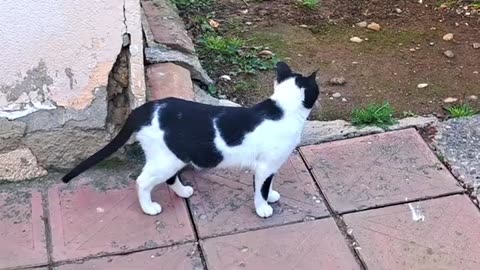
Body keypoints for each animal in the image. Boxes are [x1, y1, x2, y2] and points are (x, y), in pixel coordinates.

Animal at [62, 62, 318, 218]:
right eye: (316, 89)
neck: (282, 109)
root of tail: (143, 109)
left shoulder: (269, 166)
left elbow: (267, 184)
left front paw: (271, 196)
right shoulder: (266, 164)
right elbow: (261, 188)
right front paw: (263, 208)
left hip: (173, 157)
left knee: (169, 178)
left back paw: (183, 192)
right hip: (165, 159)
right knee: (142, 181)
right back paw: (149, 208)